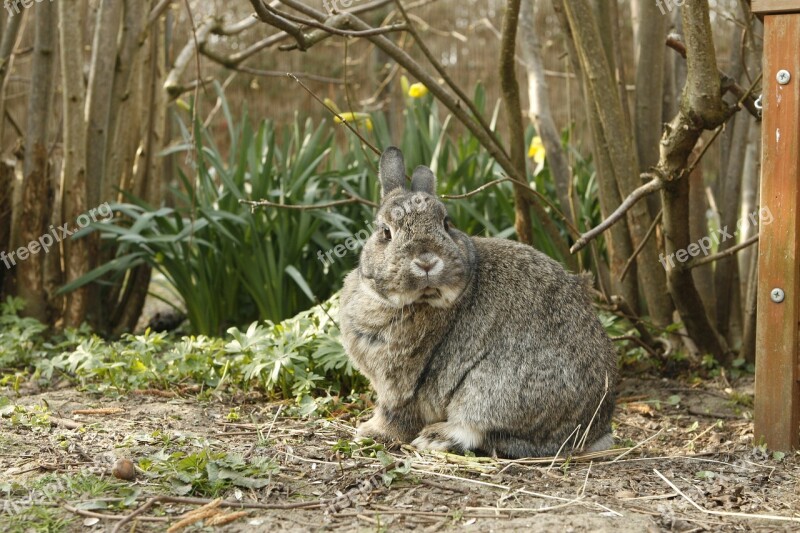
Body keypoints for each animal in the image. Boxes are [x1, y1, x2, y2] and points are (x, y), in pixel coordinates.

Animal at [338, 147, 620, 458]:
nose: (426, 261)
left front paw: (370, 432)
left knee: (476, 429)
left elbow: (394, 415)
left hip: (490, 388)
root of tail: (592, 431)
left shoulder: (400, 386)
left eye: (446, 223)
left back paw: (436, 437)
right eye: (386, 232)